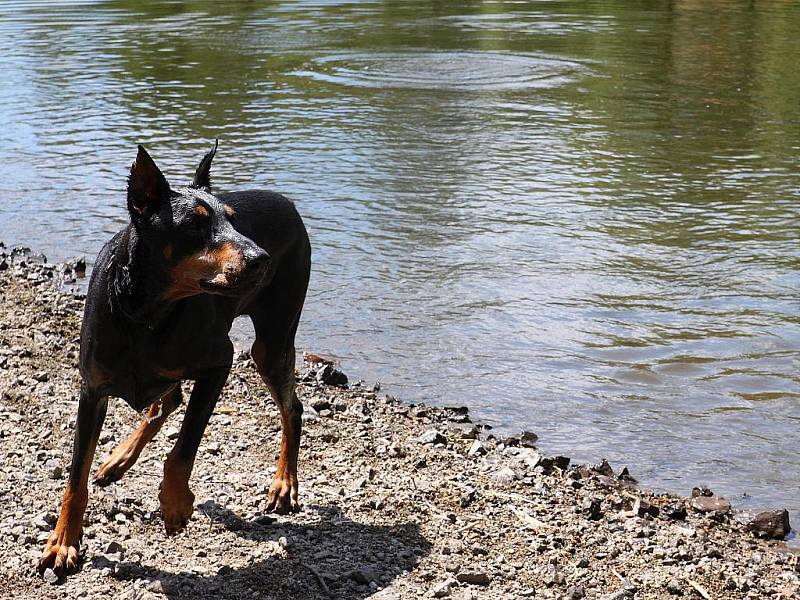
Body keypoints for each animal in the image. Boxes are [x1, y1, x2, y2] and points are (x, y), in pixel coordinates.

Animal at [39, 143, 310, 580]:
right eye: (195, 225)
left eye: (233, 219)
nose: (261, 258)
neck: (145, 313)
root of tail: (287, 202)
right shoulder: (92, 389)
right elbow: (76, 476)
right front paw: (63, 542)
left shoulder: (219, 362)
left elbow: (185, 445)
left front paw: (175, 503)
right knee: (167, 399)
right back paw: (118, 459)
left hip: (270, 343)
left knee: (292, 408)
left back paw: (284, 484)